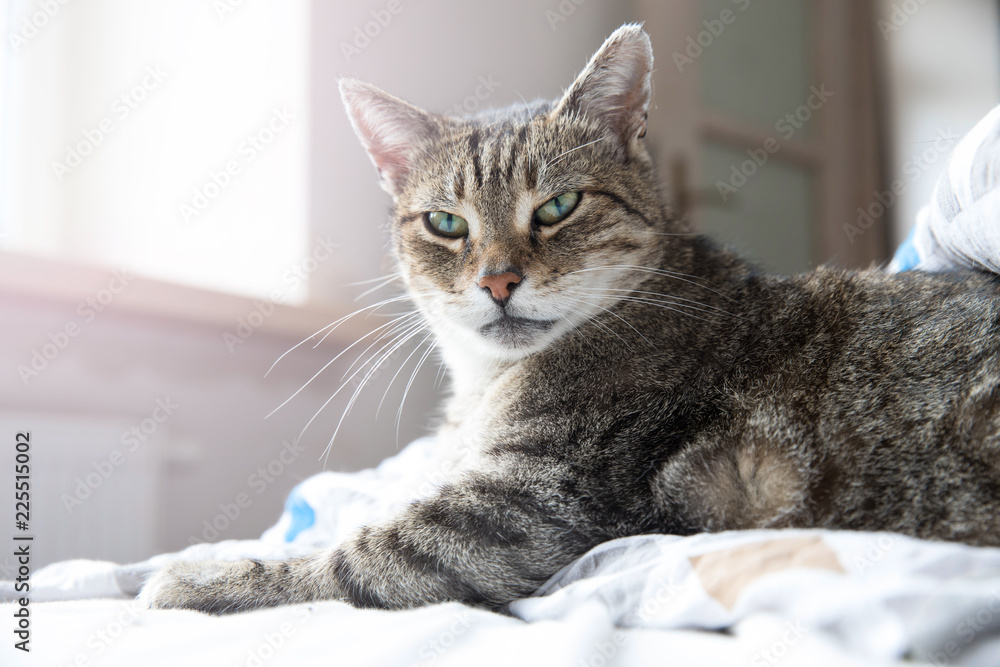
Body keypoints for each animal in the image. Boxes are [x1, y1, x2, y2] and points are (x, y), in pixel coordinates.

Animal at [141, 24, 1000, 616]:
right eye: (445, 223)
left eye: (556, 207)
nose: (498, 280)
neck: (486, 386)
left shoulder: (529, 504)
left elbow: (355, 555)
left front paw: (194, 575)